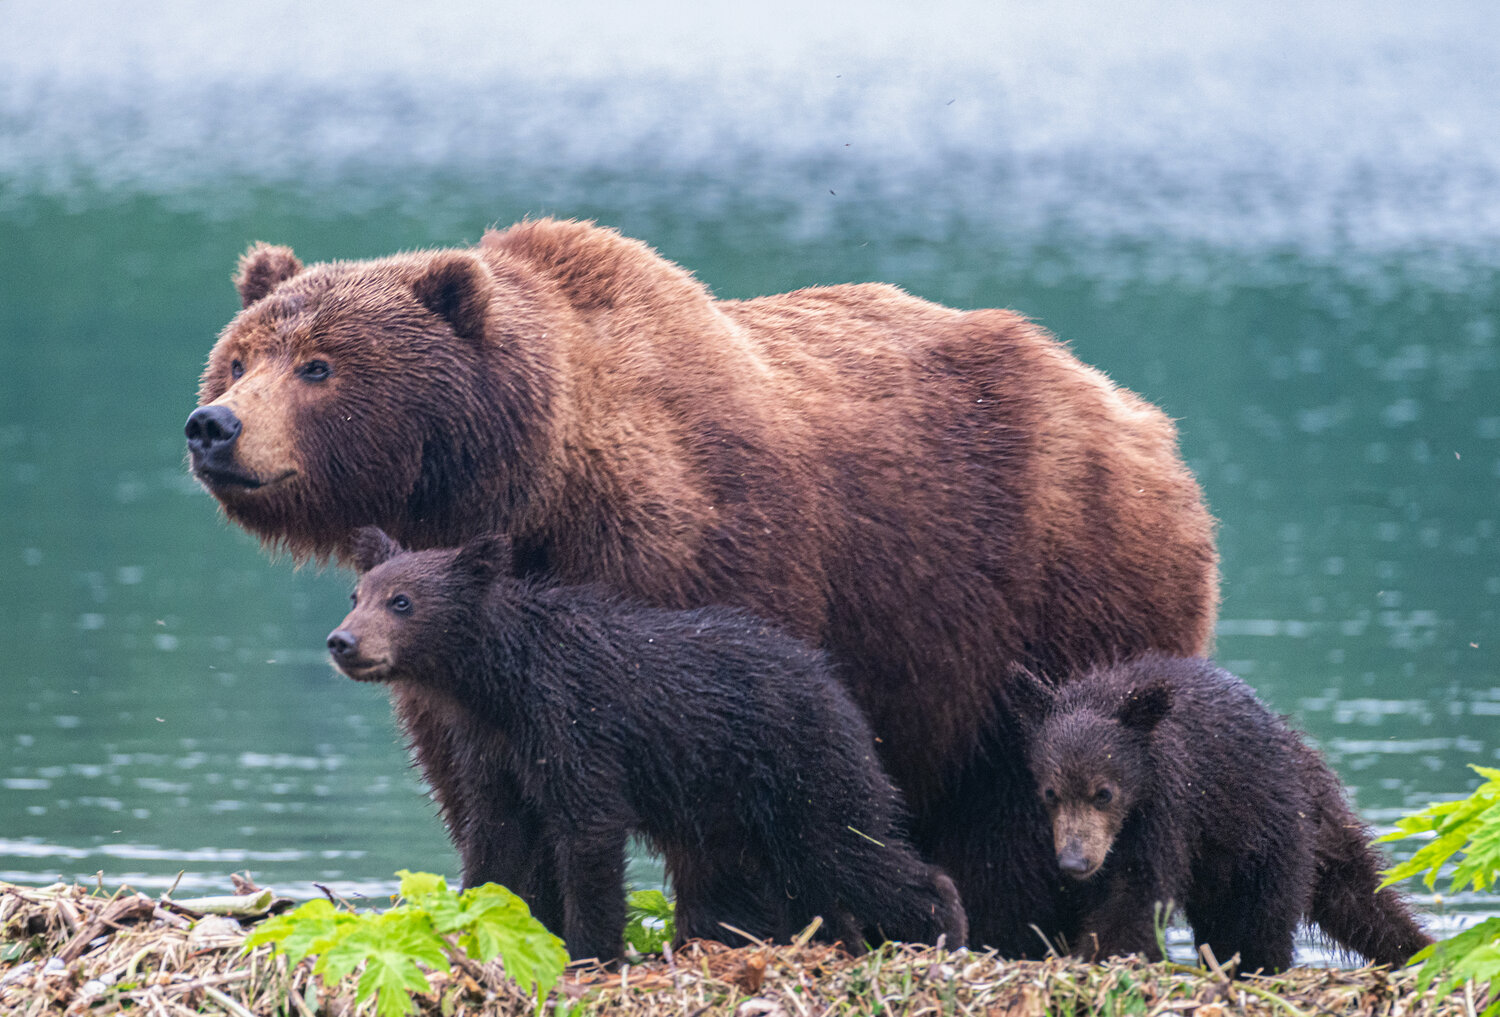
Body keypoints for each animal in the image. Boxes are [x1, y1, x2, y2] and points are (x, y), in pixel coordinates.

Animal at [325, 525, 969, 963]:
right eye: (359, 594)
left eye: (402, 602)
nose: (342, 641)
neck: (499, 686)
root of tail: (833, 684)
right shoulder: (493, 751)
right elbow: (494, 837)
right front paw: (467, 922)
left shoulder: (576, 727)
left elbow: (589, 837)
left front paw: (589, 952)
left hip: (804, 768)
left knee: (853, 847)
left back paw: (943, 931)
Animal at [1010, 653, 1431, 973]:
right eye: (1050, 793)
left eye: (1104, 793)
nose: (1075, 861)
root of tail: (1301, 759)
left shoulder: (1170, 806)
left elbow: (1139, 893)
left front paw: (1097, 954)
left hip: (1270, 835)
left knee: (1274, 919)